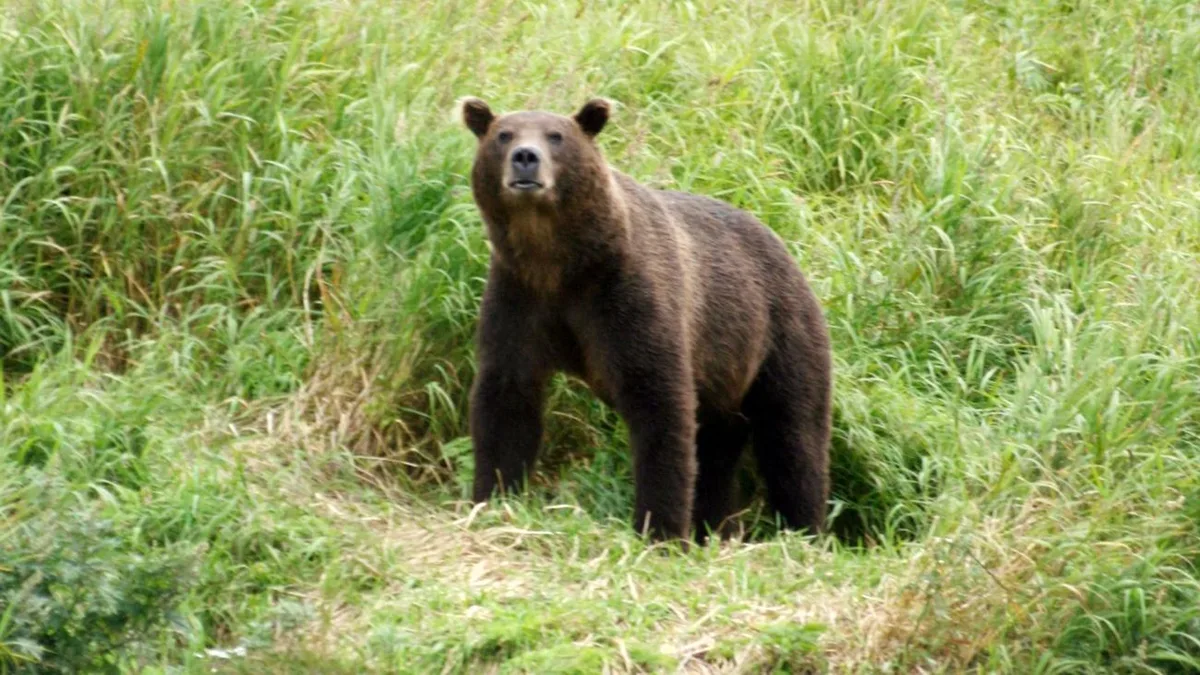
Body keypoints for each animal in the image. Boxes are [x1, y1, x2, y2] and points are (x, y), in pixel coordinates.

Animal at [460, 96, 833, 543]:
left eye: (556, 136)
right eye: (504, 134)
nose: (525, 158)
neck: (559, 262)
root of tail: (788, 250)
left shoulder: (627, 295)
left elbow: (660, 403)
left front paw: (660, 528)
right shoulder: (520, 298)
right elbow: (507, 398)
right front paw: (491, 498)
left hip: (778, 334)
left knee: (793, 437)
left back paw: (804, 528)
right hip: (726, 376)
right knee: (718, 449)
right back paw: (715, 526)